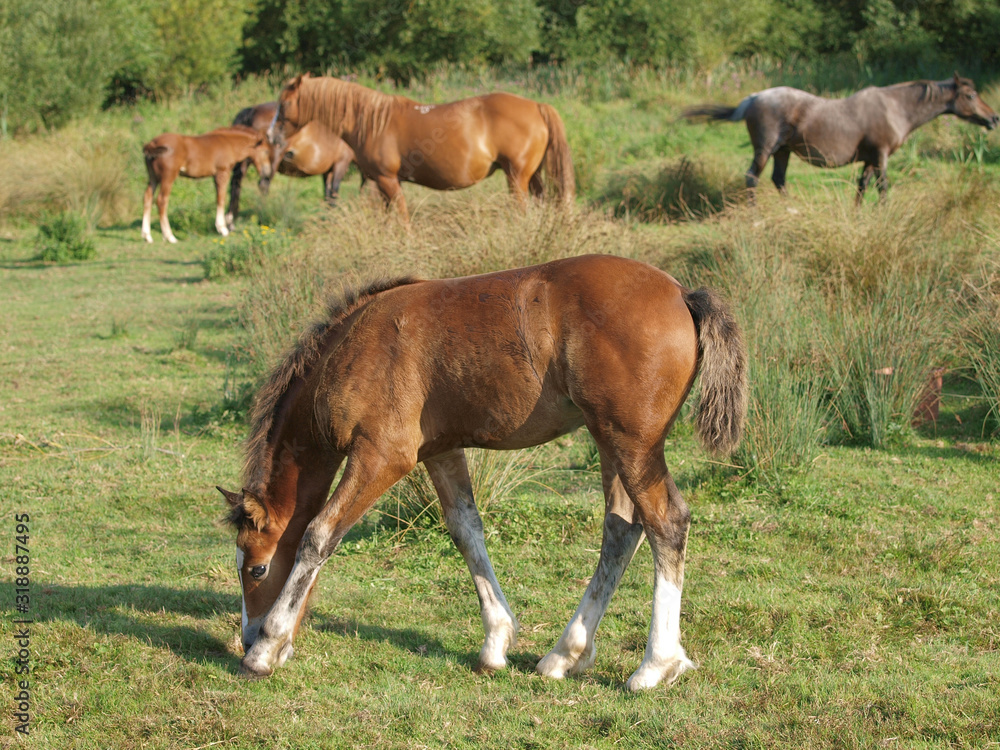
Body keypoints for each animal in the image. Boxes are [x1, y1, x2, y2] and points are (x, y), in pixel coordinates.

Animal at [141, 126, 272, 244]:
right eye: (265, 151)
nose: (267, 172)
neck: (229, 143)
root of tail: (152, 143)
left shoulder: (215, 176)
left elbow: (218, 198)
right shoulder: (222, 172)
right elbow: (221, 198)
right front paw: (222, 229)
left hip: (153, 177)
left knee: (147, 197)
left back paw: (147, 236)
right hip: (168, 177)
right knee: (161, 200)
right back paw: (170, 236)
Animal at [221, 258, 752, 692]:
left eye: (257, 568)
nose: (245, 638)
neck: (354, 344)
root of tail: (682, 294)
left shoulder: (382, 456)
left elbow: (319, 534)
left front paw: (267, 650)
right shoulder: (440, 450)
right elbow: (466, 529)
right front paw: (496, 641)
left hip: (632, 443)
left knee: (666, 522)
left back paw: (655, 666)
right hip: (611, 442)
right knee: (622, 529)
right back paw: (564, 655)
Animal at [226, 102, 356, 229]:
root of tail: (253, 110)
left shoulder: (328, 171)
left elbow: (327, 194)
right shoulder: (341, 163)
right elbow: (334, 192)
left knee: (236, 183)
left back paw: (231, 222)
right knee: (263, 184)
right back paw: (262, 215)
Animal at [272, 73, 580, 220]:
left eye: (284, 104)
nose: (273, 136)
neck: (372, 122)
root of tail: (537, 106)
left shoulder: (387, 180)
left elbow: (402, 218)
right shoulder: (381, 184)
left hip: (516, 176)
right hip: (533, 175)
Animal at [684, 74, 996, 204]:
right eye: (970, 95)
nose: (994, 118)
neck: (895, 107)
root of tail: (754, 97)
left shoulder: (870, 158)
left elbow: (862, 186)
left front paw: (859, 214)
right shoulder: (881, 155)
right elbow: (883, 186)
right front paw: (884, 212)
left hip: (783, 150)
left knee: (778, 179)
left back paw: (793, 210)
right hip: (766, 148)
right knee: (752, 177)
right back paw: (756, 215)